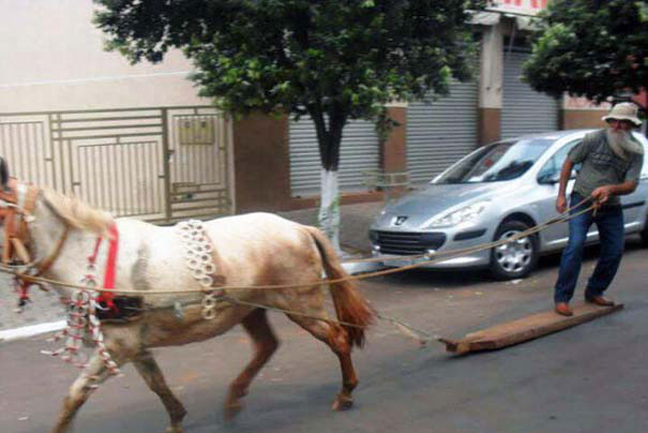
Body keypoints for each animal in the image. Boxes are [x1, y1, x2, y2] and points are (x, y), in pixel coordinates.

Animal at [0, 158, 374, 432]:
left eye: (2, 213)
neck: (93, 256)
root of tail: (301, 228)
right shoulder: (132, 346)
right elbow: (157, 383)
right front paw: (177, 418)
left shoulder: (119, 345)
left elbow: (75, 395)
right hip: (251, 308)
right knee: (267, 345)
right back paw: (234, 398)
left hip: (301, 304)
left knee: (338, 338)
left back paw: (345, 393)